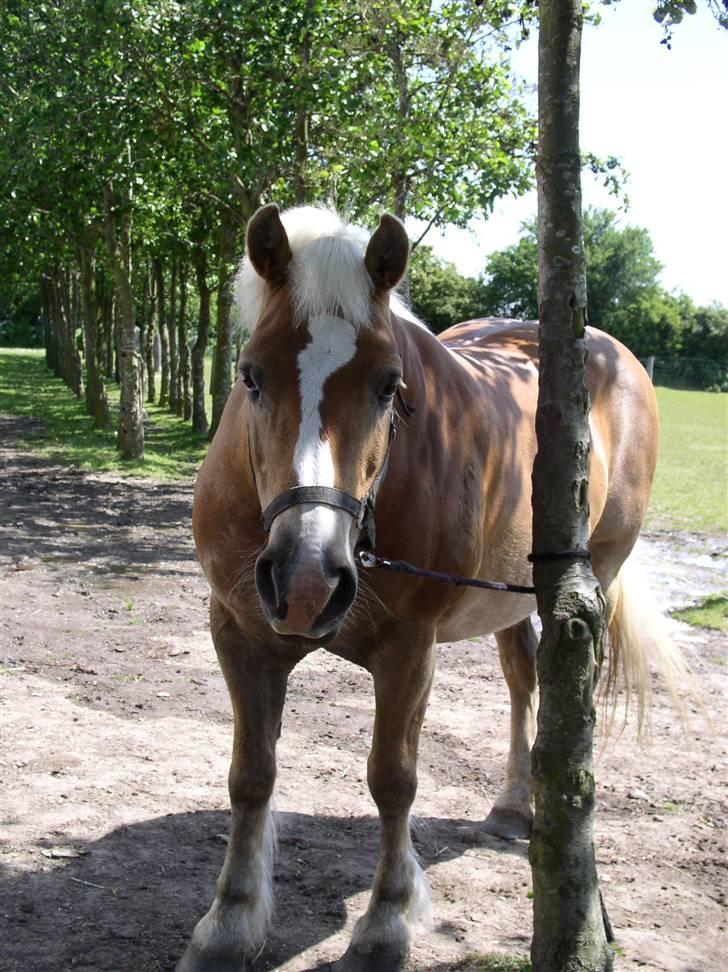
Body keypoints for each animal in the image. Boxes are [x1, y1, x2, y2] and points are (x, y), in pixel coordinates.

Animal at [179, 205, 672, 972]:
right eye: (250, 375)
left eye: (389, 384)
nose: (306, 580)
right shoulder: (239, 633)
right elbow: (251, 774)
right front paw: (228, 922)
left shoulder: (409, 651)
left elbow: (393, 779)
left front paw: (385, 923)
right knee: (522, 677)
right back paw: (512, 806)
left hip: (591, 577)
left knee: (562, 686)